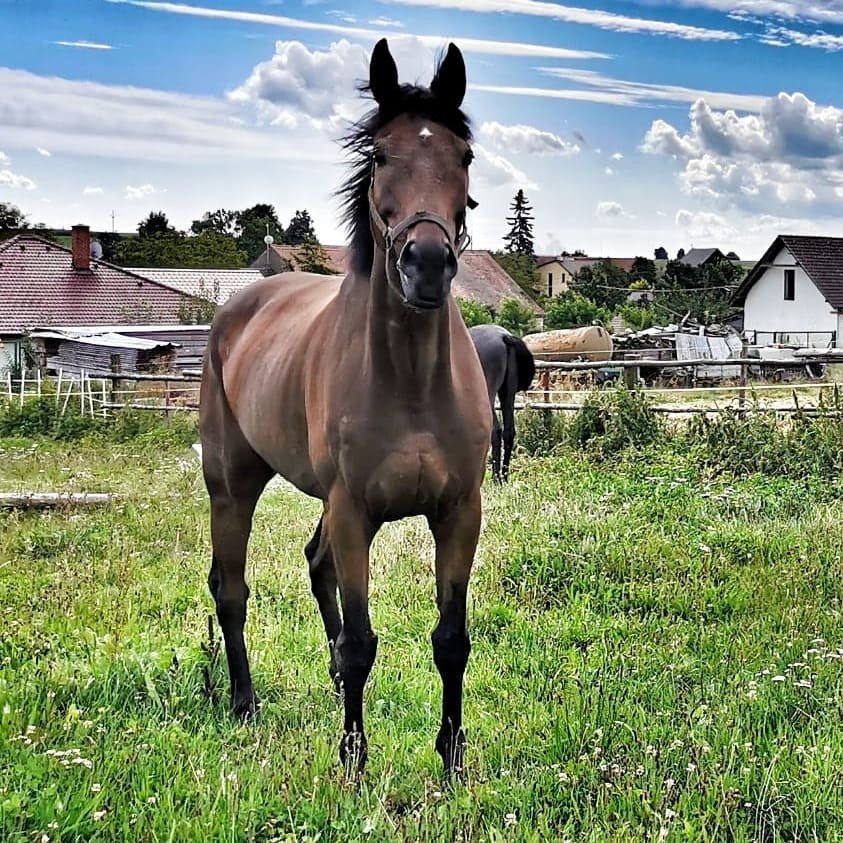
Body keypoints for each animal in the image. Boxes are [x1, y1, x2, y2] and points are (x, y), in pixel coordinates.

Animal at [199, 39, 492, 780]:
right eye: (381, 154)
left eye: (464, 155)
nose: (426, 263)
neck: (410, 381)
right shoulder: (355, 512)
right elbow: (362, 641)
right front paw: (353, 760)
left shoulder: (458, 513)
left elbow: (451, 639)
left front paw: (451, 757)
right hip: (233, 485)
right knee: (231, 588)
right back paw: (243, 702)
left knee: (314, 564)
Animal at [468, 324, 536, 482]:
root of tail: (504, 337)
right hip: (508, 393)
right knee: (508, 431)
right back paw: (504, 477)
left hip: (488, 396)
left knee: (495, 431)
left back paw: (496, 478)